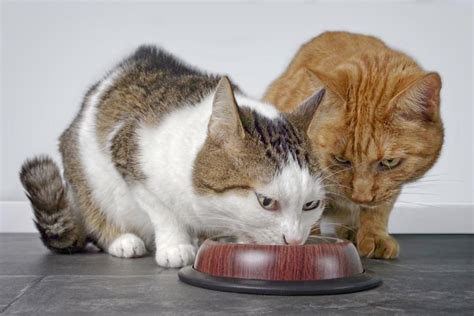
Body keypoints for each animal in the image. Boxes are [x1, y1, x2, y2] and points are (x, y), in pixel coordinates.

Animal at [20, 46, 328, 266]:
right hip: (85, 173)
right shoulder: (128, 154)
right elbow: (163, 210)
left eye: (310, 204)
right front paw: (175, 245)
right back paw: (122, 240)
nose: (295, 241)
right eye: (266, 201)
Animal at [264, 31, 442, 260]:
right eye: (340, 159)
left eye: (390, 162)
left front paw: (374, 235)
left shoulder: (390, 189)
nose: (360, 197)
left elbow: (378, 209)